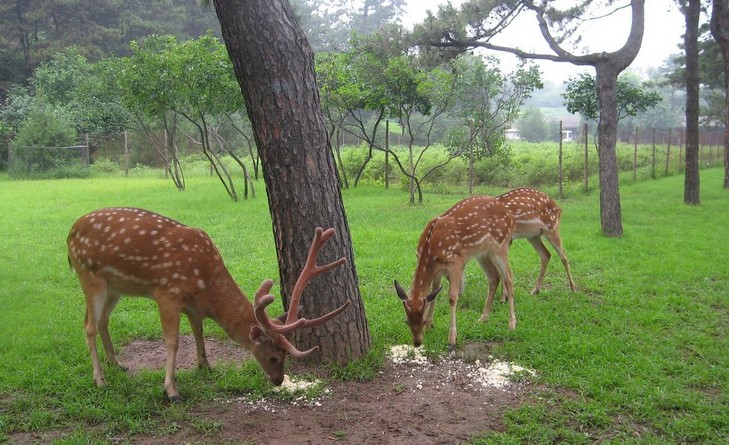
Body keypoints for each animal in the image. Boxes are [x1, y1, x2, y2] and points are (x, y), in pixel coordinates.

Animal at [68, 206, 350, 400]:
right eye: (272, 357)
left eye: (285, 355)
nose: (279, 380)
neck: (206, 286)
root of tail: (69, 236)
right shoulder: (167, 293)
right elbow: (172, 342)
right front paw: (172, 390)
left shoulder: (192, 305)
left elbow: (198, 330)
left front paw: (205, 365)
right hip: (89, 275)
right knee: (88, 326)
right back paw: (100, 380)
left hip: (115, 287)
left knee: (103, 321)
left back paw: (117, 364)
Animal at [392, 195, 516, 346]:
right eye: (407, 322)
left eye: (421, 321)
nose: (417, 343)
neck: (430, 253)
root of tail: (511, 217)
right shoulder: (437, 271)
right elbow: (434, 293)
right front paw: (430, 327)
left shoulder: (456, 262)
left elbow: (452, 298)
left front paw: (451, 338)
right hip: (482, 253)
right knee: (494, 276)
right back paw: (483, 318)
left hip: (501, 245)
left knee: (508, 277)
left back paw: (512, 324)